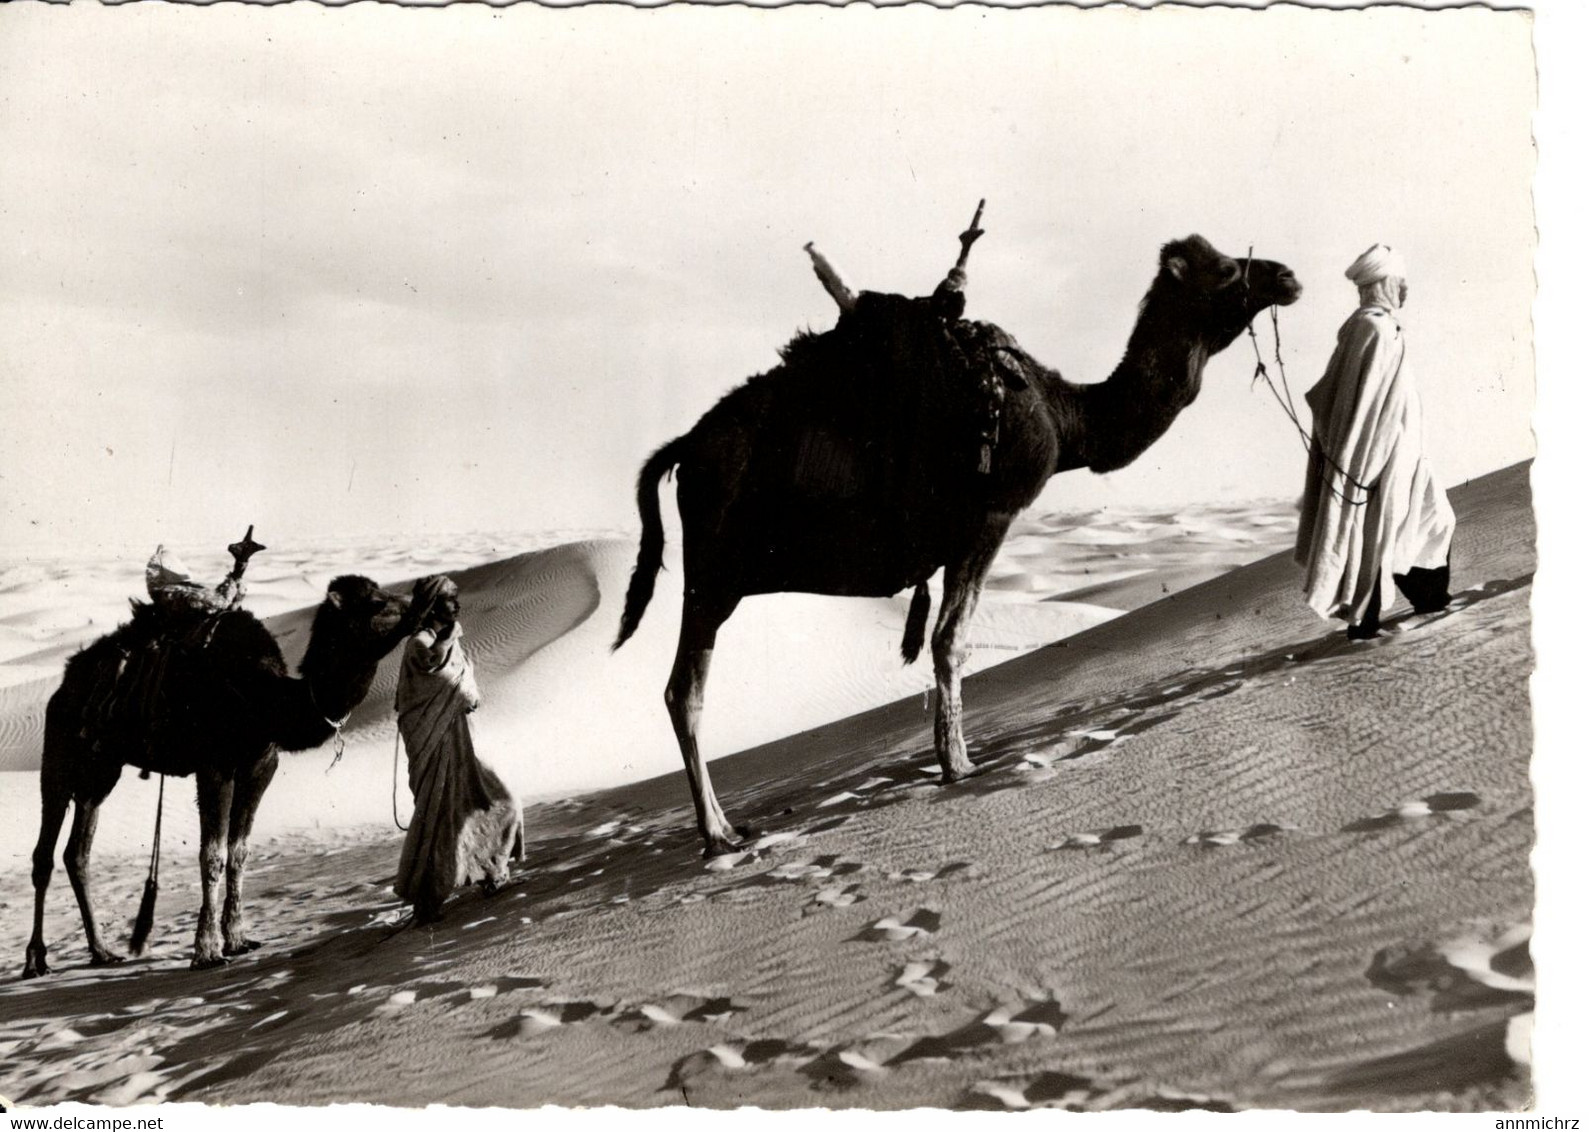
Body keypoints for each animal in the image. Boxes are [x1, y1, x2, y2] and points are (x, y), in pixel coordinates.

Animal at [26, 575, 422, 973]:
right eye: (376, 602)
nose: (421, 602)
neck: (266, 700)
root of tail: (64, 685)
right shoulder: (214, 767)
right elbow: (213, 853)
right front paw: (207, 951)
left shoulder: (260, 767)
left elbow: (240, 851)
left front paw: (238, 940)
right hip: (59, 754)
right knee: (44, 853)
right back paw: (36, 960)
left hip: (101, 771)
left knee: (77, 853)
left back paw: (102, 951)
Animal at [613, 222, 1296, 858]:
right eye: (1229, 269)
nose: (1287, 275)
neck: (1063, 417)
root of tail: (685, 449)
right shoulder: (989, 519)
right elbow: (951, 641)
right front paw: (959, 764)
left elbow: (944, 639)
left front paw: (952, 759)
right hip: (712, 575)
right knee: (684, 691)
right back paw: (718, 832)